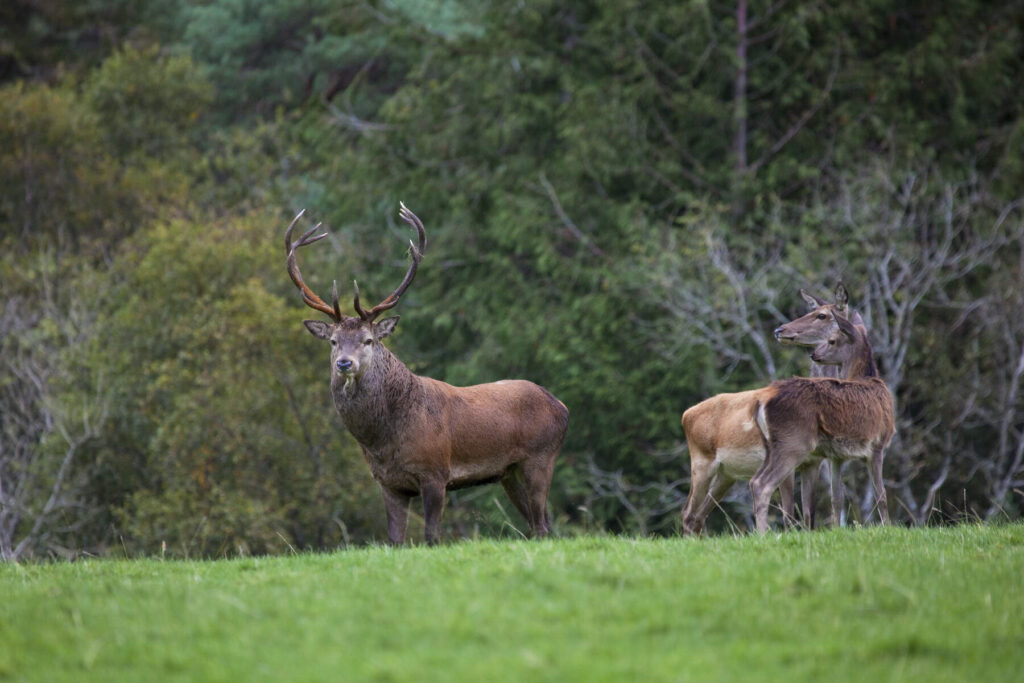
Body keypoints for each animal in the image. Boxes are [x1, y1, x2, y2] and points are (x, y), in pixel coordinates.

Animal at [285, 203, 569, 545]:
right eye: (333, 341)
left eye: (368, 340)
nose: (344, 363)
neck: (383, 441)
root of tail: (562, 406)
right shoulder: (388, 482)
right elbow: (394, 539)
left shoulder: (435, 472)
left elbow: (432, 536)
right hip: (509, 472)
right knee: (541, 525)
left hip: (541, 457)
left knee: (541, 525)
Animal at [680, 285, 864, 534]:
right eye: (812, 310)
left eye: (822, 315)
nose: (780, 329)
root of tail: (686, 414)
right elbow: (789, 515)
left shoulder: (813, 461)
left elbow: (809, 515)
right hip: (701, 462)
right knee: (688, 513)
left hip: (726, 473)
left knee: (698, 516)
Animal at [749, 313, 894, 533]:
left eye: (832, 340)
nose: (814, 355)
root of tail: (761, 401)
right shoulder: (877, 444)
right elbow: (882, 495)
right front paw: (888, 527)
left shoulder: (836, 457)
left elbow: (837, 498)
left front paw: (837, 530)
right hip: (794, 442)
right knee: (761, 484)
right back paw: (763, 534)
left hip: (771, 446)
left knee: (754, 481)